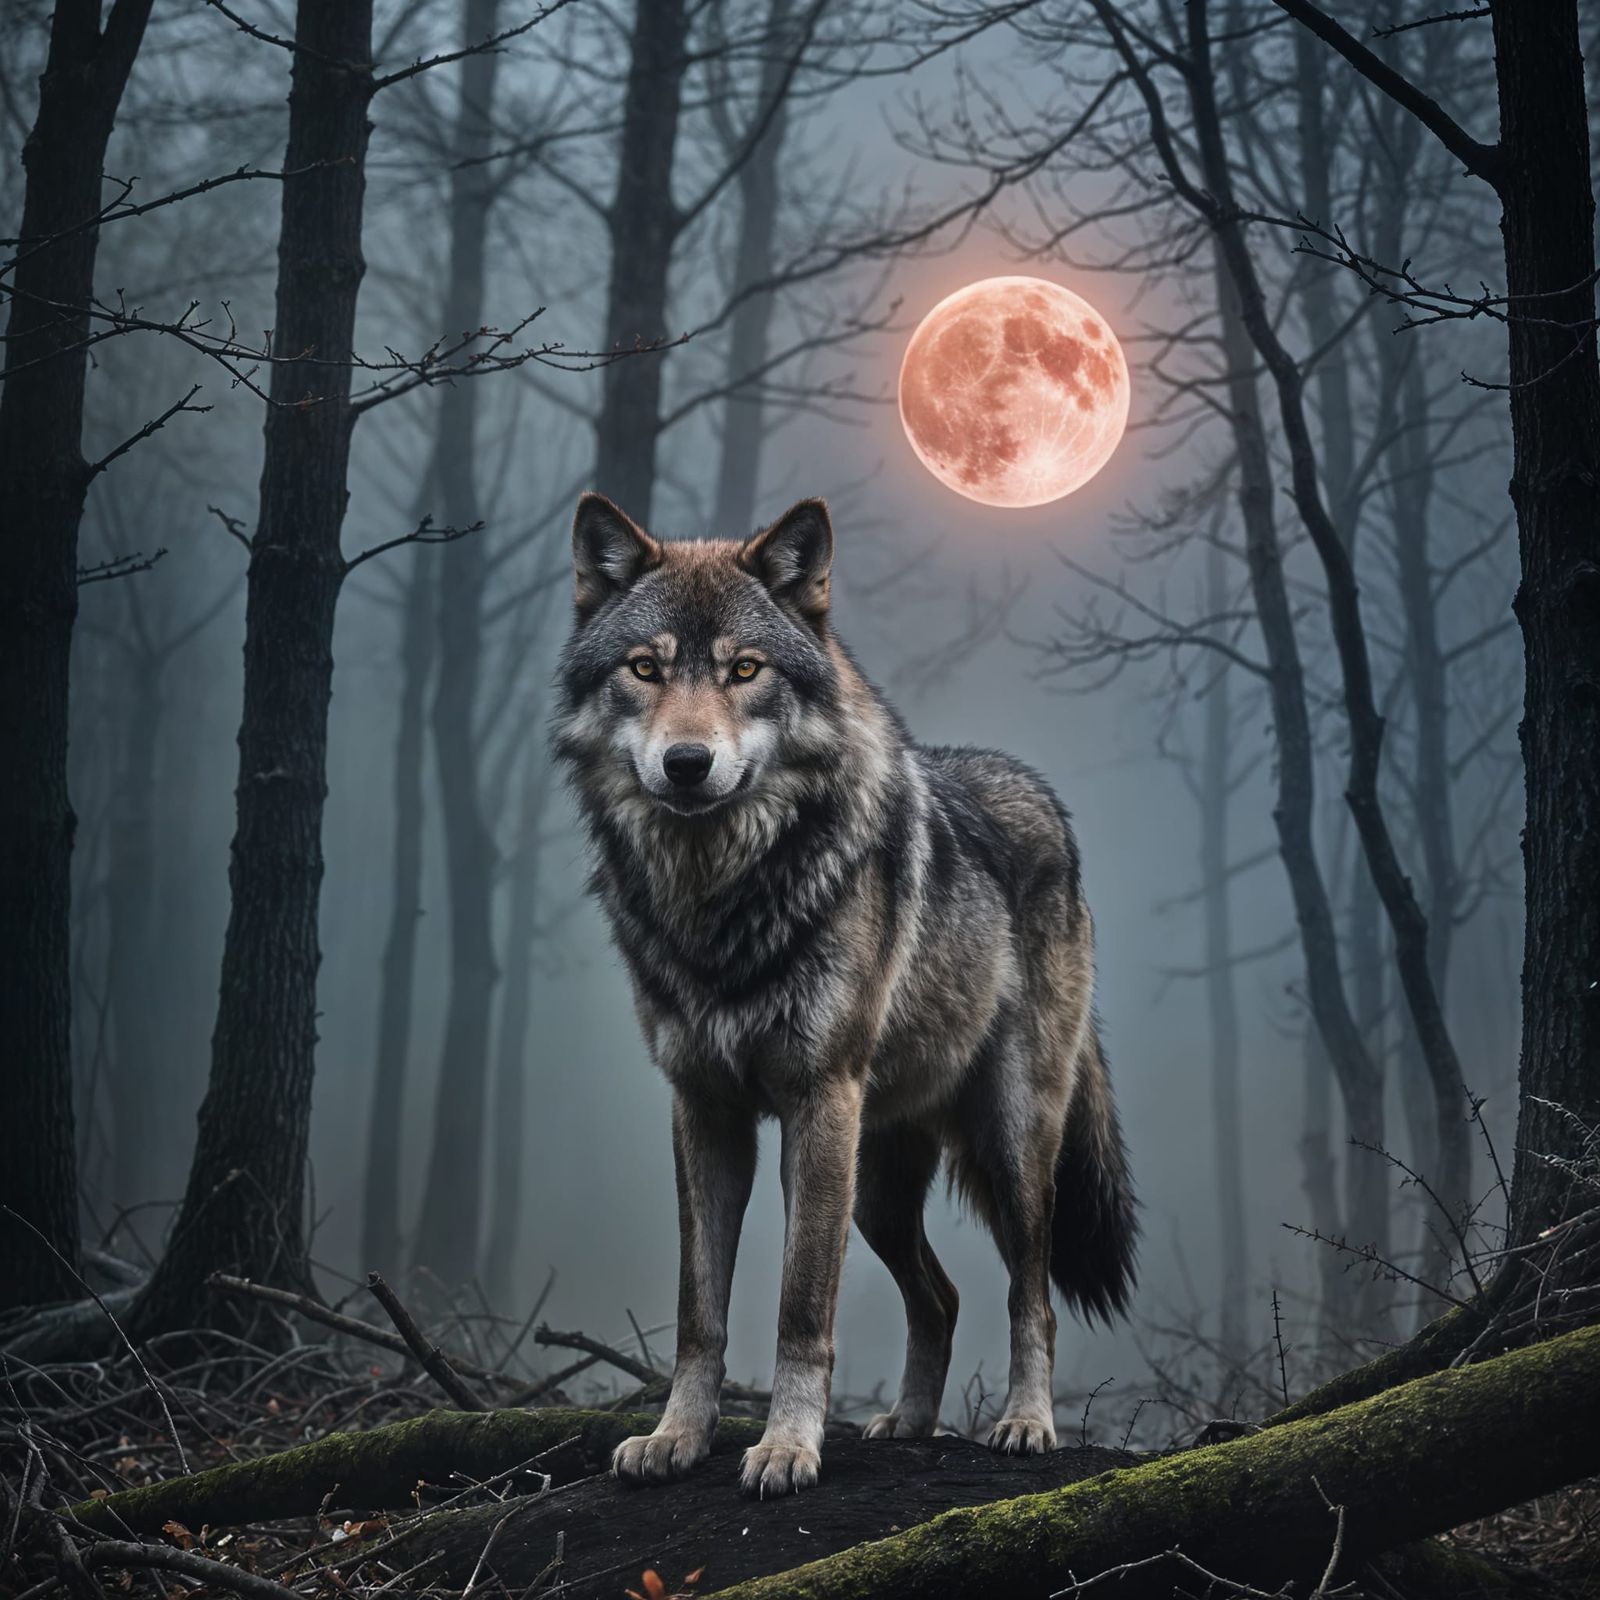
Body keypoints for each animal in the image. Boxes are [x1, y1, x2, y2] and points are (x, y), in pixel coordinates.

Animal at [552, 492, 1138, 1499]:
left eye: (744, 670)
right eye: (646, 669)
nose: (686, 763)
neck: (720, 898)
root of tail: (1045, 803)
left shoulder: (817, 1101)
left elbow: (801, 1307)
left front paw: (787, 1447)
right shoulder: (704, 1110)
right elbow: (700, 1310)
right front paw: (676, 1438)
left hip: (1006, 1141)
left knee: (1030, 1294)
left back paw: (1025, 1423)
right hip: (877, 1184)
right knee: (940, 1296)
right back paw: (906, 1424)